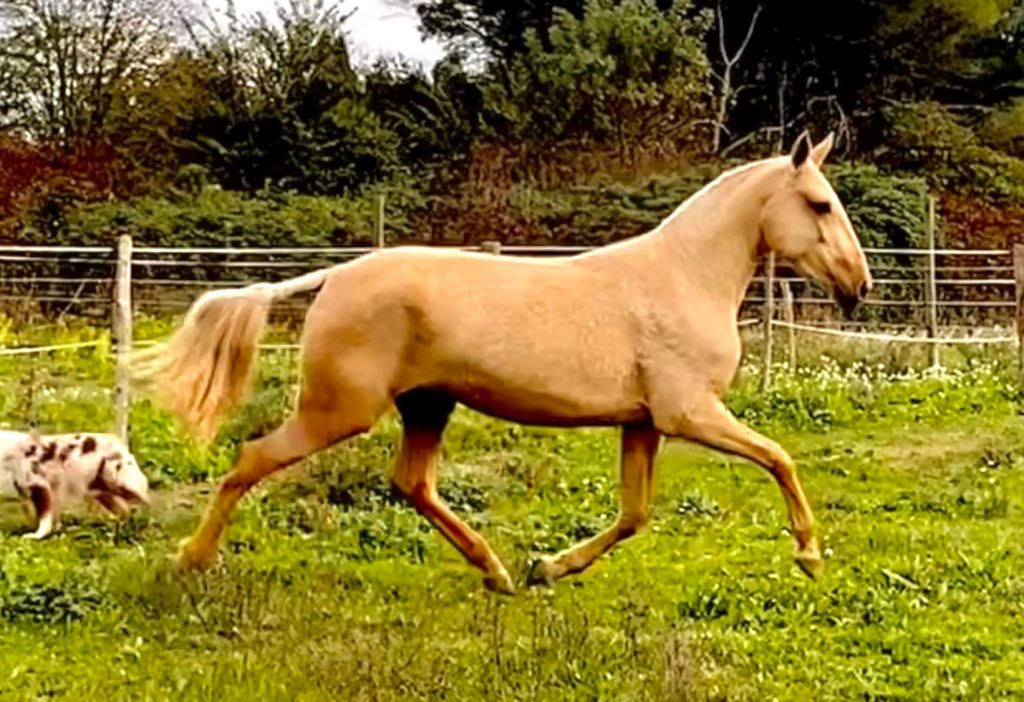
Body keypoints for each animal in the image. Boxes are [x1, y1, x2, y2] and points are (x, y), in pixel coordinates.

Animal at [134, 131, 872, 594]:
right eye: (819, 204)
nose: (858, 286)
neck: (683, 277)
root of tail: (336, 276)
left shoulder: (642, 422)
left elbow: (634, 515)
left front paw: (548, 566)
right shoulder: (688, 412)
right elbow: (780, 457)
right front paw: (809, 555)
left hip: (426, 405)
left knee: (412, 485)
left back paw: (499, 572)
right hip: (339, 410)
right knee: (253, 459)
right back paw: (190, 560)